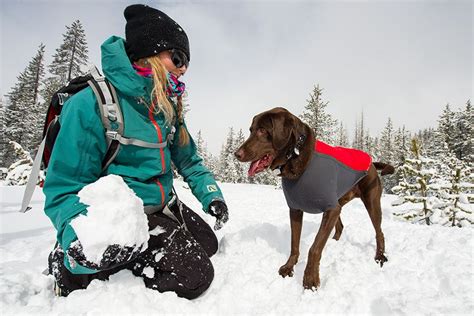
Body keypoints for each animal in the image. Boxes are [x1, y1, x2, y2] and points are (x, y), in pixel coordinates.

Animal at [235, 107, 394, 290]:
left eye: (262, 130)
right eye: (251, 130)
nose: (236, 154)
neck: (296, 157)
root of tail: (373, 163)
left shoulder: (330, 208)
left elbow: (314, 248)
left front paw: (310, 279)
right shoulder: (296, 209)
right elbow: (294, 244)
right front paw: (289, 267)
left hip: (371, 201)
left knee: (379, 231)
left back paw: (380, 256)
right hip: (339, 201)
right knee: (340, 227)